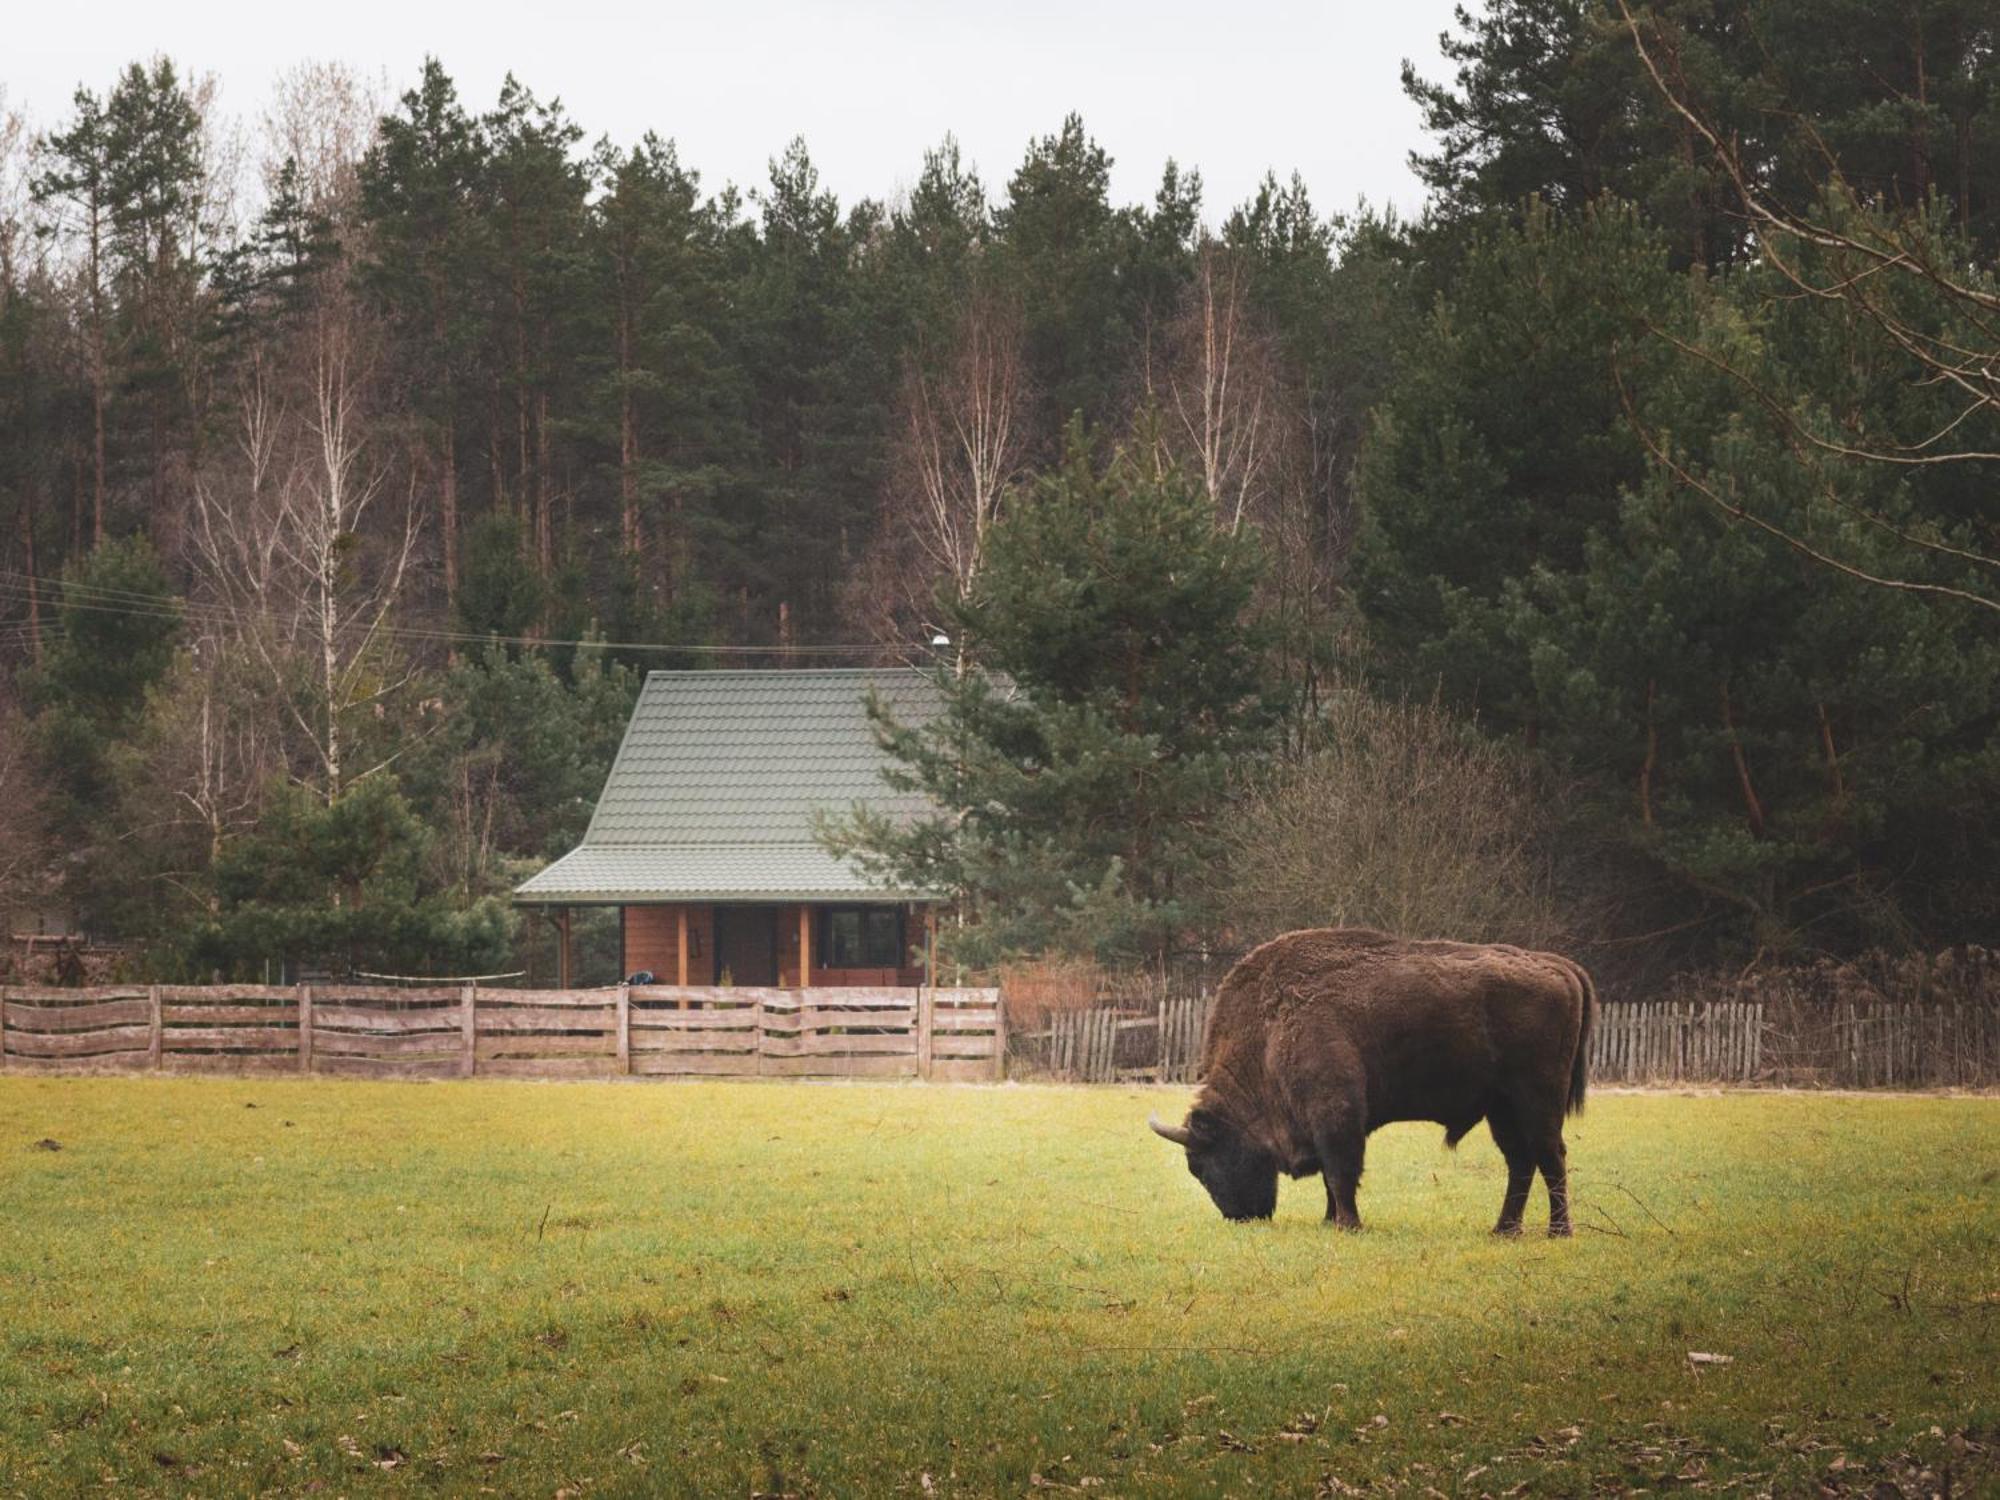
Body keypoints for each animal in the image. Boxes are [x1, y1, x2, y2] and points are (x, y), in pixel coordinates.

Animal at [1160, 936, 1592, 1240]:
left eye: (1203, 1164)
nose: (1240, 1217)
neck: (1270, 1028)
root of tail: (1558, 965)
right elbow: (1330, 1178)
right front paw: (1330, 1220)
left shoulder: (1337, 1115)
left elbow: (1340, 1173)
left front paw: (1348, 1225)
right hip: (1501, 1108)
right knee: (1520, 1162)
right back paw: (1504, 1230)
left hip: (1536, 1100)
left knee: (1550, 1157)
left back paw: (1557, 1232)